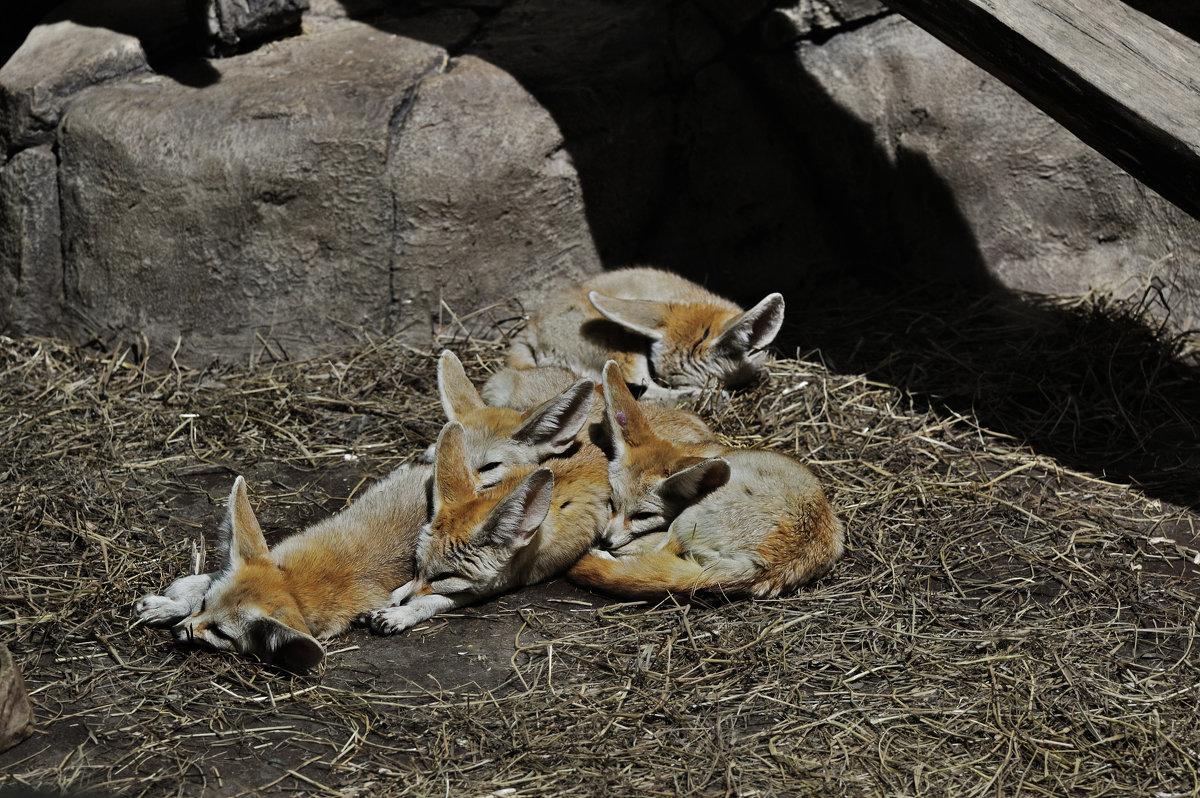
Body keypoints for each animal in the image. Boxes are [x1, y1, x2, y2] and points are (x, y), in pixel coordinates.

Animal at [367, 417, 609, 633]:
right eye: (416, 568)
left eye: (443, 577)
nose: (403, 602)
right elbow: (408, 587)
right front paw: (393, 598)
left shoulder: (491, 586)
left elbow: (435, 599)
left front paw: (401, 613)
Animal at [568, 360, 844, 597]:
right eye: (611, 504)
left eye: (643, 516)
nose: (606, 539)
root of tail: (768, 565)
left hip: (686, 519)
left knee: (658, 552)